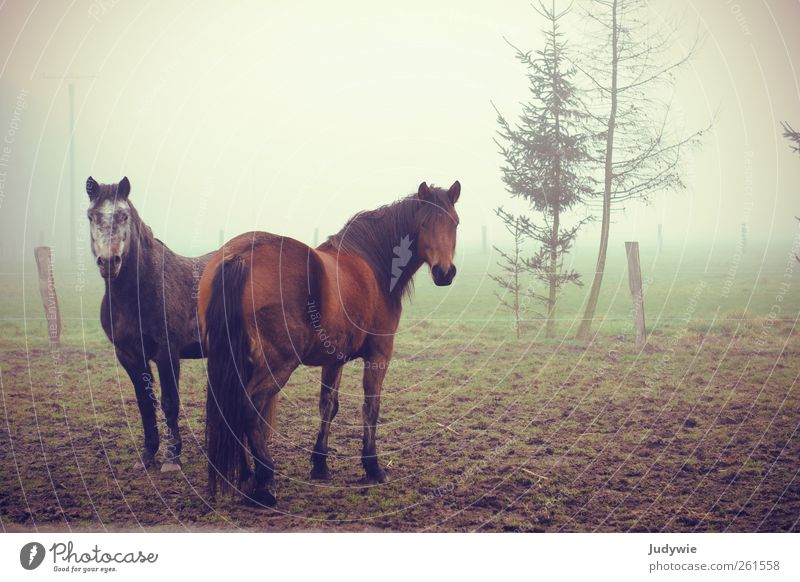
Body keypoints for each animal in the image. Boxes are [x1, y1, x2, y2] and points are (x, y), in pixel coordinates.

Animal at [199, 181, 460, 506]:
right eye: (424, 224)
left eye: (454, 222)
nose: (444, 272)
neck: (371, 265)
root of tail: (241, 257)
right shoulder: (379, 355)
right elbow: (370, 407)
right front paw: (373, 467)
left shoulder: (334, 359)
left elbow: (328, 406)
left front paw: (320, 464)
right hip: (278, 365)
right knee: (250, 405)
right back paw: (265, 481)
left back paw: (247, 477)